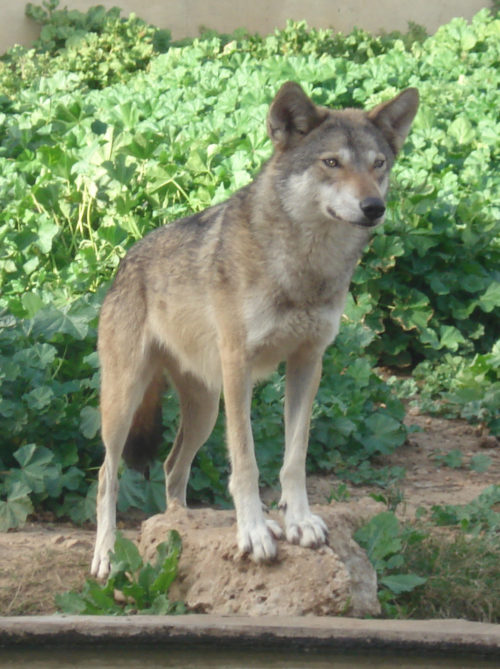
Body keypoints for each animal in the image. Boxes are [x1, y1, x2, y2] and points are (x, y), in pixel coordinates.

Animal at [91, 79, 418, 580]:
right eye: (331, 163)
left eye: (378, 164)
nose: (373, 207)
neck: (305, 266)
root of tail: (124, 262)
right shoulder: (238, 368)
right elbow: (245, 462)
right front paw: (255, 533)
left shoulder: (308, 364)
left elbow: (295, 458)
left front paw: (298, 522)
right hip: (125, 405)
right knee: (107, 477)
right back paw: (107, 556)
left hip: (205, 411)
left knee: (172, 467)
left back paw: (178, 523)